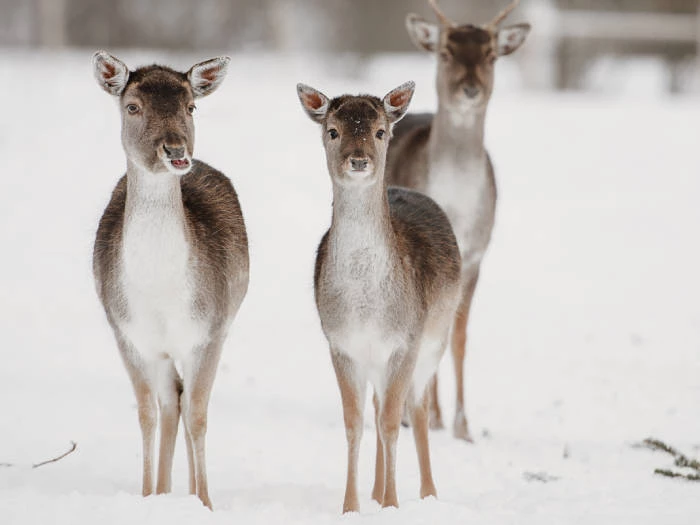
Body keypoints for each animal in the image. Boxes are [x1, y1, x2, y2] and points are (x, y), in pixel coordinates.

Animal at [91, 52, 247, 508]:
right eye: (132, 107)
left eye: (191, 106)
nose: (176, 151)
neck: (161, 294)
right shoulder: (128, 333)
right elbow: (147, 412)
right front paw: (147, 496)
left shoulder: (209, 331)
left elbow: (199, 414)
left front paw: (206, 503)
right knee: (169, 400)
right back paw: (162, 491)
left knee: (182, 399)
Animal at [298, 82, 462, 512]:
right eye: (333, 130)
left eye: (380, 131)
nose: (358, 161)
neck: (367, 308)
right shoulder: (341, 344)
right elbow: (354, 423)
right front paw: (352, 506)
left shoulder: (406, 341)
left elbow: (392, 423)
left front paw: (392, 504)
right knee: (377, 406)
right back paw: (374, 490)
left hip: (435, 339)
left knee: (418, 408)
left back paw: (428, 493)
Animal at [382, 0, 532, 442]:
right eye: (446, 51)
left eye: (491, 54)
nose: (470, 88)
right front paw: (432, 417)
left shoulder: (477, 253)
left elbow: (459, 337)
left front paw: (463, 426)